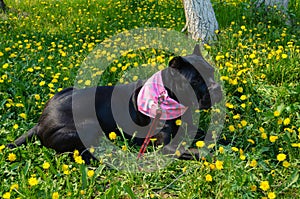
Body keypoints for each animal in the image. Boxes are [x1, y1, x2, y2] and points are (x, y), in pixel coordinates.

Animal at [7, 45, 223, 162]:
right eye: (196, 81)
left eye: (212, 71)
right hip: (88, 126)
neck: (169, 95)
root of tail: (40, 121)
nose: (218, 89)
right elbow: (196, 152)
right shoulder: (165, 144)